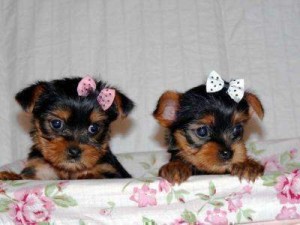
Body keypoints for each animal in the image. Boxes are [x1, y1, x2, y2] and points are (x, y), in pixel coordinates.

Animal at [0, 76, 134, 180]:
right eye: (56, 123)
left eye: (94, 128)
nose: (74, 151)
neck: (68, 170)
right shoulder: (40, 170)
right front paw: (9, 176)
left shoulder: (109, 171)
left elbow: (96, 175)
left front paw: (87, 176)